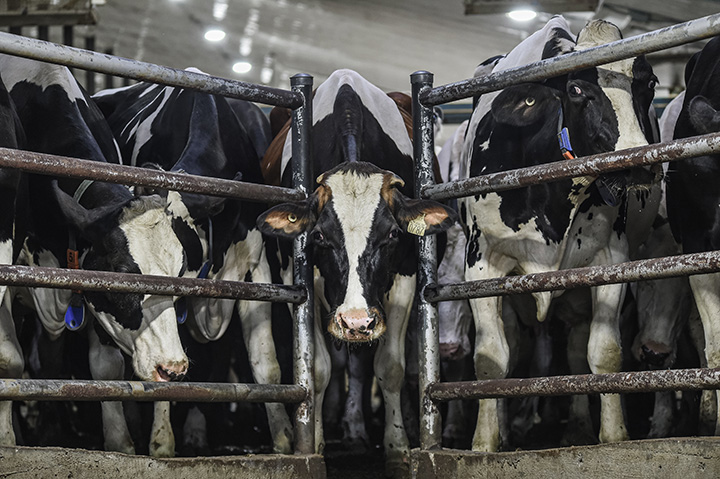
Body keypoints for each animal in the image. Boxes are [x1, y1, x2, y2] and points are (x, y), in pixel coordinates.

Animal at [0, 54, 188, 456]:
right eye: (121, 271)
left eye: (178, 275)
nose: (172, 369)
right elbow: (10, 361)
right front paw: (9, 440)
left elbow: (104, 370)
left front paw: (119, 443)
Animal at [257, 69, 456, 476]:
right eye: (319, 236)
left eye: (392, 235)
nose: (356, 322)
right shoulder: (303, 283)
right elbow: (318, 370)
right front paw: (315, 442)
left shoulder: (404, 282)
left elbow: (390, 367)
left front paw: (397, 446)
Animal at [458, 17, 661, 451]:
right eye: (576, 89)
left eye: (649, 83)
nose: (637, 163)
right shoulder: (481, 265)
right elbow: (490, 359)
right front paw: (484, 442)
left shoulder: (610, 259)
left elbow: (604, 352)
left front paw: (614, 436)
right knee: (514, 346)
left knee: (575, 346)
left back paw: (579, 425)